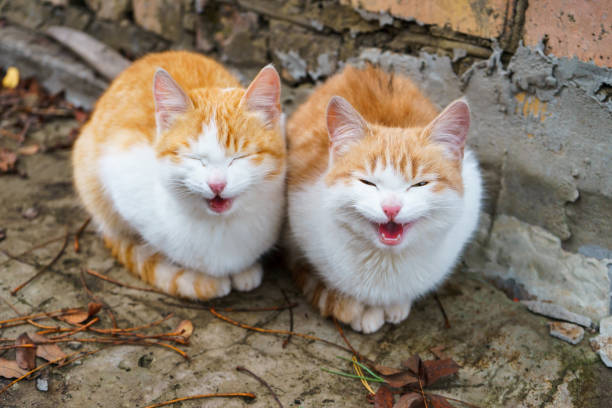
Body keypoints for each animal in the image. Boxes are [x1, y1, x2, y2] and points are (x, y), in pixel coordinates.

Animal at [73, 51, 286, 300]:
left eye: (239, 157)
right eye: (194, 158)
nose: (217, 184)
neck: (219, 226)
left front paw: (245, 270)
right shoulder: (119, 167)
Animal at [286, 65, 482, 334]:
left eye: (420, 184)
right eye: (367, 182)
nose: (391, 208)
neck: (386, 264)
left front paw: (397, 304)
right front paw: (360, 309)